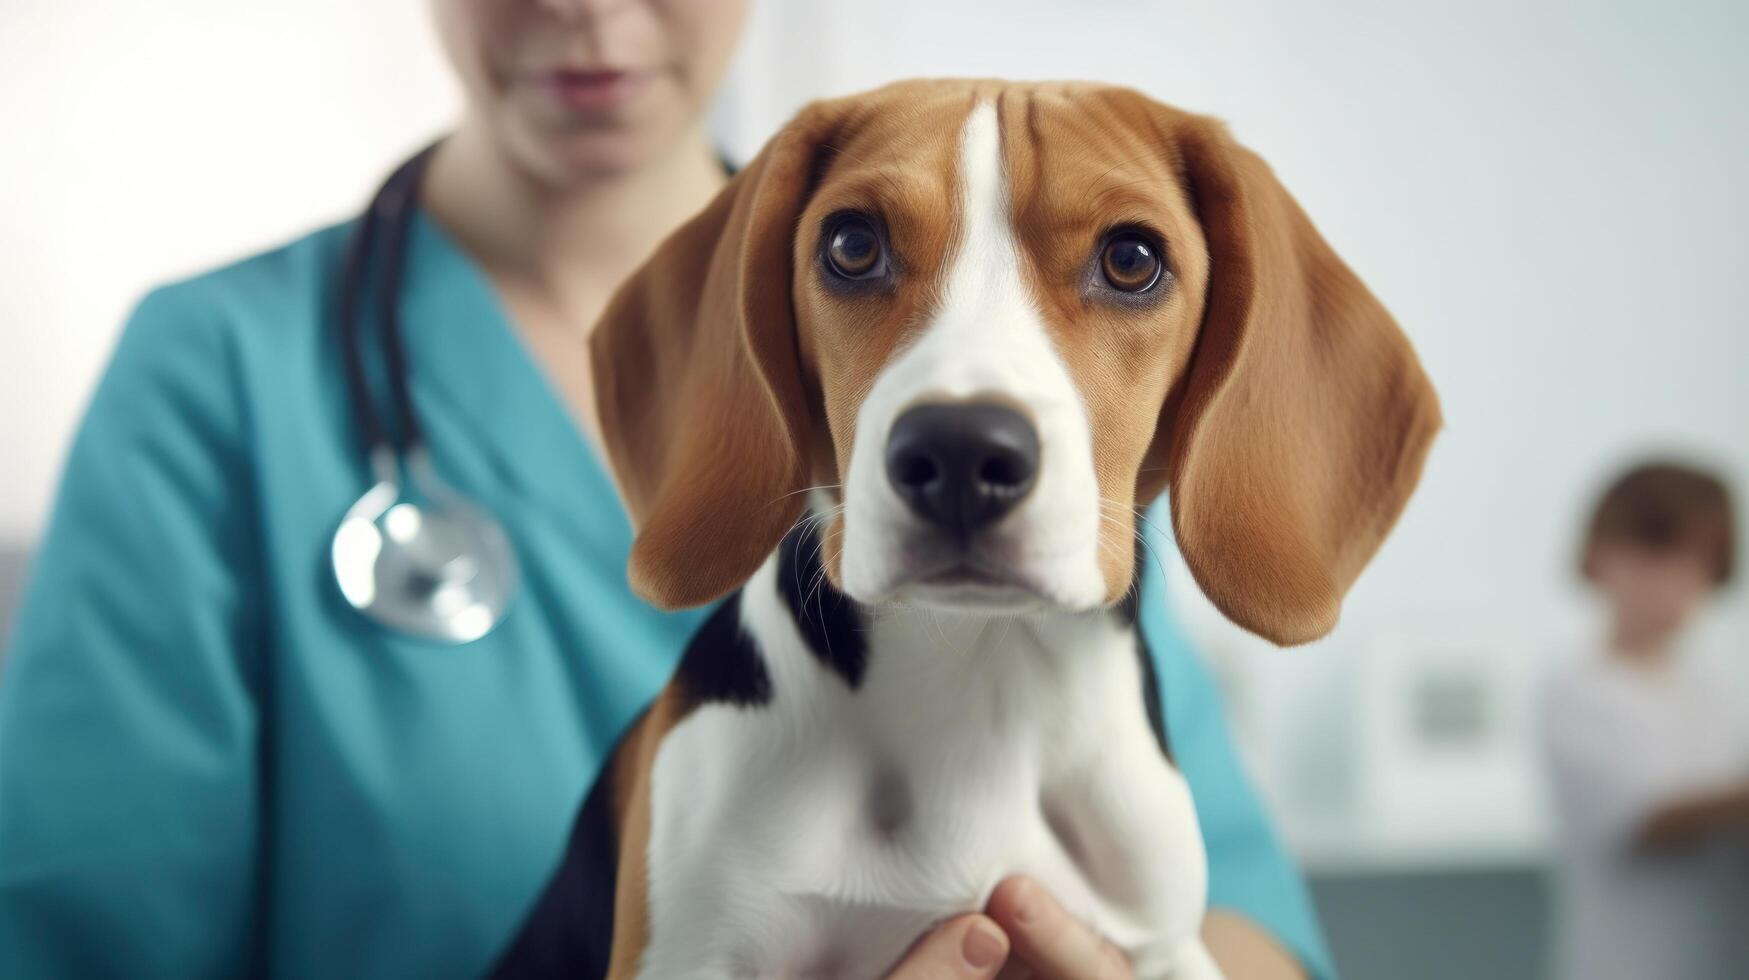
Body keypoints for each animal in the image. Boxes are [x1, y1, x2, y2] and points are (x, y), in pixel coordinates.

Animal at [489, 78, 1434, 980]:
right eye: (852, 245)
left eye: (1131, 259)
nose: (958, 450)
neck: (985, 677)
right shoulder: (692, 954)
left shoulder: (1159, 946)